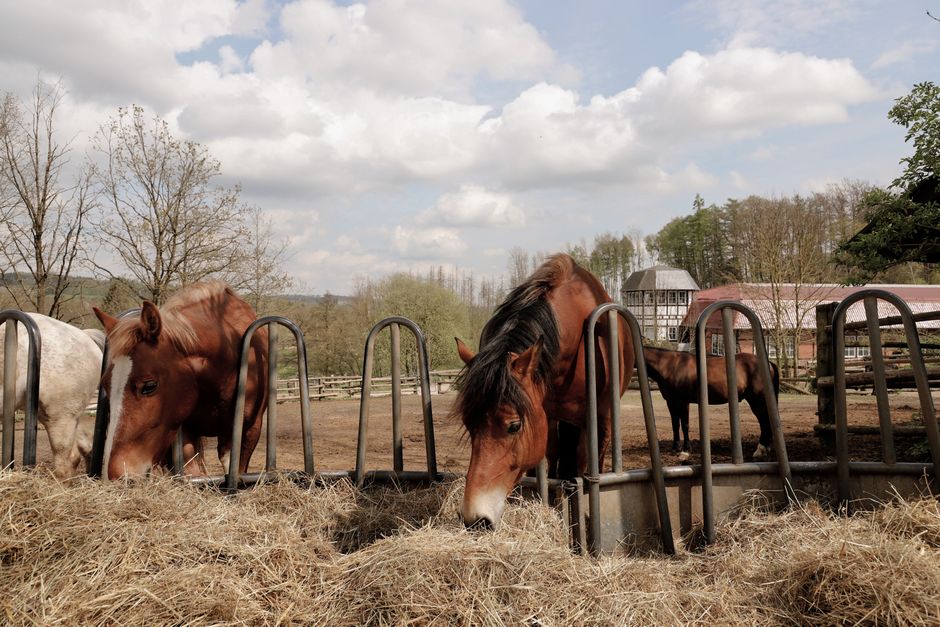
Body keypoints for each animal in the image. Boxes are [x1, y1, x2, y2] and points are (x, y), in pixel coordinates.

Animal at [453, 253, 633, 529]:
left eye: (514, 426)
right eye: (468, 424)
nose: (476, 519)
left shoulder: (597, 421)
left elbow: (585, 467)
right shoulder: (544, 417)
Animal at [642, 346, 780, 461]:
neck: (671, 366)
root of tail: (769, 364)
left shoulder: (683, 401)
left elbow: (685, 425)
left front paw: (686, 451)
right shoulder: (671, 401)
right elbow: (675, 425)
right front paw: (675, 448)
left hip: (757, 400)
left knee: (764, 421)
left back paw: (760, 450)